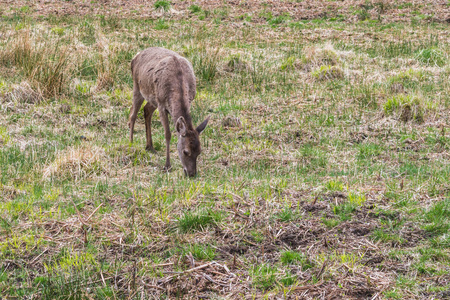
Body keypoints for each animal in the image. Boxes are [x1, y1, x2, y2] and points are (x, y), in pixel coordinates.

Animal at [127, 47, 210, 177]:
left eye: (199, 151)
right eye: (185, 151)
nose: (191, 173)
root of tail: (136, 56)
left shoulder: (190, 99)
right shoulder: (161, 105)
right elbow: (168, 134)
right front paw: (167, 166)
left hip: (153, 98)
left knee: (146, 110)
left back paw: (150, 146)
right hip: (137, 86)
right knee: (133, 115)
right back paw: (131, 144)